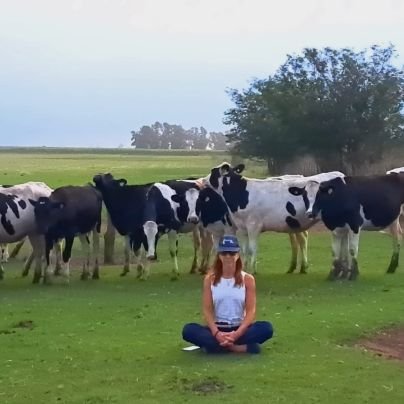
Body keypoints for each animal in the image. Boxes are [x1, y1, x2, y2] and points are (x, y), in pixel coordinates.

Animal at [202, 163, 344, 274]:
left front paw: (253, 271)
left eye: (213, 172)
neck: (241, 193)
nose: (202, 180)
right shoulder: (242, 228)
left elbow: (252, 249)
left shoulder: (253, 225)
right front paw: (244, 269)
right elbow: (244, 250)